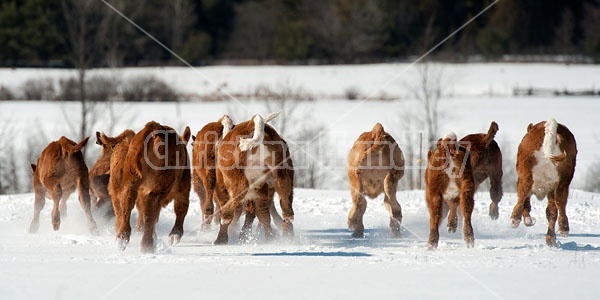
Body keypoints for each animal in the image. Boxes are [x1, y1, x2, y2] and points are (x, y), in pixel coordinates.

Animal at [108, 120, 191, 252]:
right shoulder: (184, 188)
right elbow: (181, 209)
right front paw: (175, 235)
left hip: (131, 182)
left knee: (127, 205)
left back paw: (122, 240)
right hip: (159, 187)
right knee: (150, 212)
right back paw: (147, 246)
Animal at [213, 112, 296, 244]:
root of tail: (251, 122)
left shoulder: (221, 186)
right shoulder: (260, 188)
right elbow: (261, 213)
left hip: (238, 180)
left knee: (231, 208)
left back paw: (221, 237)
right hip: (282, 177)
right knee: (285, 209)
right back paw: (283, 236)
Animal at [510, 118, 576, 247]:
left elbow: (527, 203)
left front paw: (528, 221)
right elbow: (551, 211)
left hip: (525, 175)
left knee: (522, 197)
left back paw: (515, 220)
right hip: (563, 180)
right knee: (559, 204)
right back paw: (560, 231)